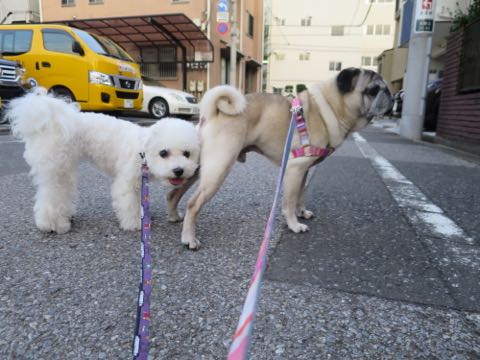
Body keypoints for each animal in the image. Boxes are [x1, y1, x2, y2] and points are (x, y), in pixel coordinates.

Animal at [7, 88, 199, 232]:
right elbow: (128, 203)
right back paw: (53, 224)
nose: (178, 170)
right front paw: (134, 223)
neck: (142, 151)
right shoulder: (126, 181)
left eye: (187, 153)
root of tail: (50, 121)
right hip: (55, 167)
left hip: (65, 167)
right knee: (51, 194)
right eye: (163, 153)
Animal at [178, 67, 392, 249]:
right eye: (373, 90)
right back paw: (189, 238)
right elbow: (289, 201)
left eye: (386, 88)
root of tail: (214, 112)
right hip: (219, 167)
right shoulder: (295, 168)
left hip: (197, 167)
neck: (331, 107)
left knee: (177, 193)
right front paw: (294, 224)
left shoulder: (303, 171)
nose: (391, 95)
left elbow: (300, 195)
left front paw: (301, 212)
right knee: (193, 204)